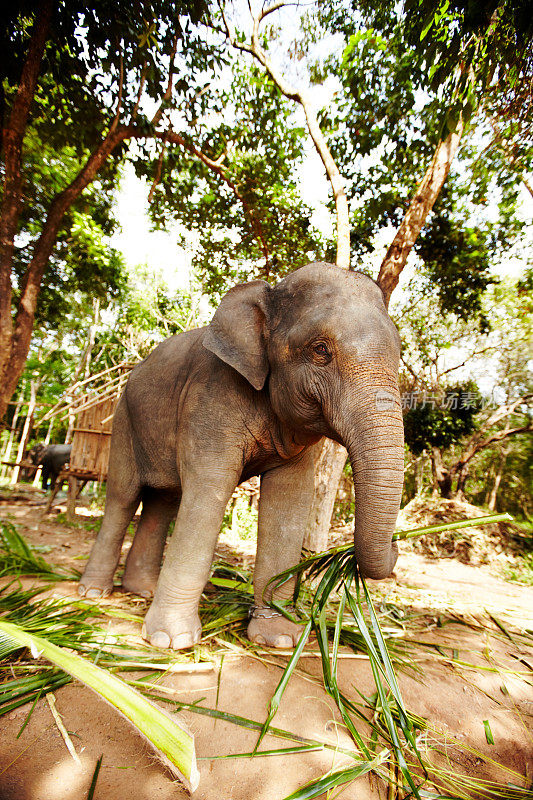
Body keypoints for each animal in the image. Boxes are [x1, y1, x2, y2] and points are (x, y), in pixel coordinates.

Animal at [79, 266, 404, 652]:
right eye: (320, 349)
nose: (397, 545)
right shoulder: (211, 395)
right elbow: (209, 490)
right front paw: (170, 641)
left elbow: (289, 501)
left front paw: (279, 639)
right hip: (124, 420)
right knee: (123, 496)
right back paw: (93, 593)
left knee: (164, 502)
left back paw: (141, 590)